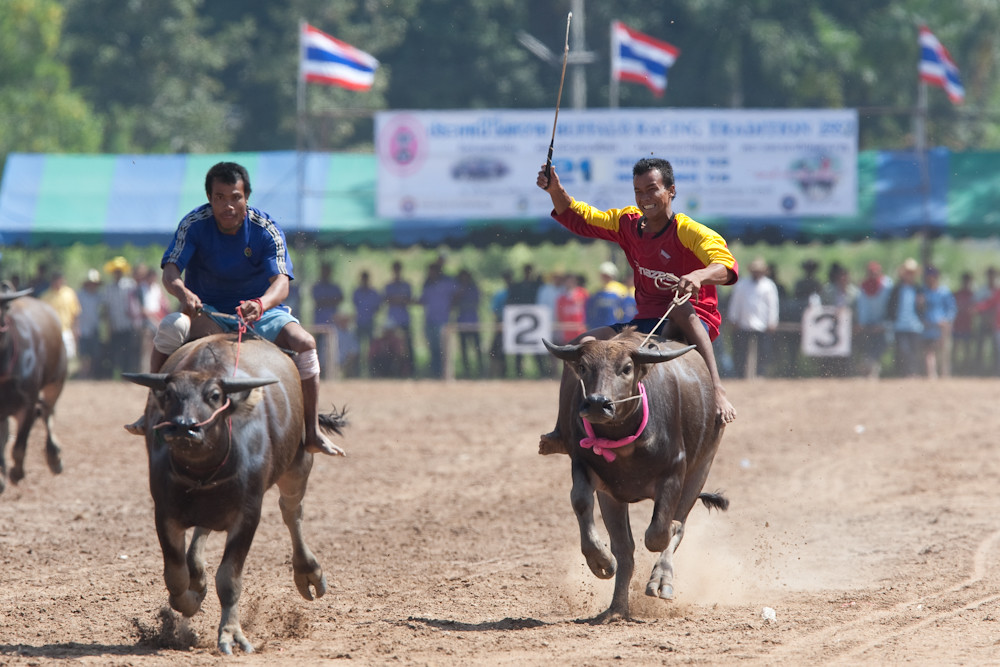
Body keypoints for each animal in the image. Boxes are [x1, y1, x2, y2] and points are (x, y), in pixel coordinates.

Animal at [0, 286, 67, 493]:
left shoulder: (28, 403)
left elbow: (19, 446)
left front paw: (16, 473)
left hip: (56, 382)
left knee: (47, 413)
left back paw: (55, 457)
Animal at [123, 333, 346, 654]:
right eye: (168, 395)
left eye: (215, 395)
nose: (184, 428)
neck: (202, 471)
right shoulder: (164, 512)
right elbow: (175, 576)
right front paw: (190, 601)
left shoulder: (248, 513)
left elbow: (229, 579)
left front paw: (230, 634)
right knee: (203, 532)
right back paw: (197, 575)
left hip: (299, 463)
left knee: (291, 512)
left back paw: (308, 572)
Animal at [543, 328, 729, 622]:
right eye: (583, 367)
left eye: (627, 368)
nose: (597, 404)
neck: (624, 443)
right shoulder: (587, 469)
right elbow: (582, 503)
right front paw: (601, 561)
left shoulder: (675, 472)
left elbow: (659, 533)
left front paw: (660, 567)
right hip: (613, 498)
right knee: (625, 549)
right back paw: (616, 609)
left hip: (702, 468)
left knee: (676, 527)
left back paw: (662, 581)